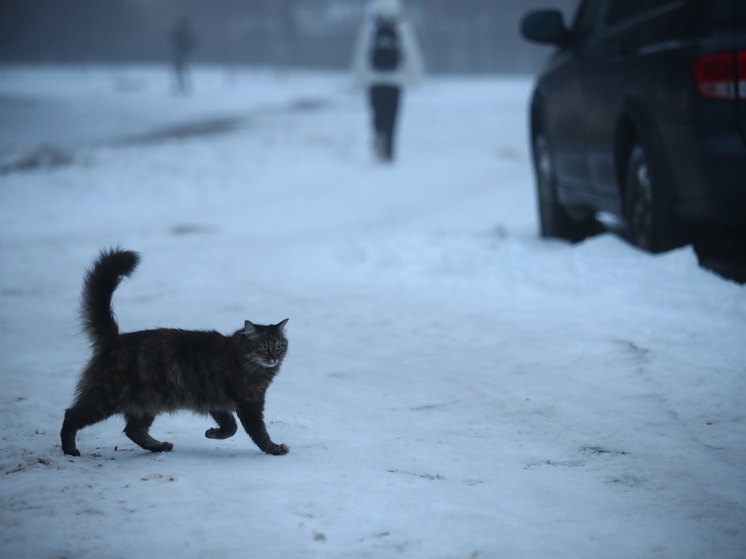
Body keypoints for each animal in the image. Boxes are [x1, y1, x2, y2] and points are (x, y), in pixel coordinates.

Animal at [60, 249, 290, 460]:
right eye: (264, 347)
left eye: (280, 346)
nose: (275, 358)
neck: (239, 357)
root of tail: (115, 339)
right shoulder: (248, 404)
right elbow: (257, 433)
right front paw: (274, 448)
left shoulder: (216, 400)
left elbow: (229, 426)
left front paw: (213, 433)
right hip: (107, 398)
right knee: (71, 415)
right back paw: (70, 450)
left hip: (147, 402)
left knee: (133, 430)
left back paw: (159, 446)